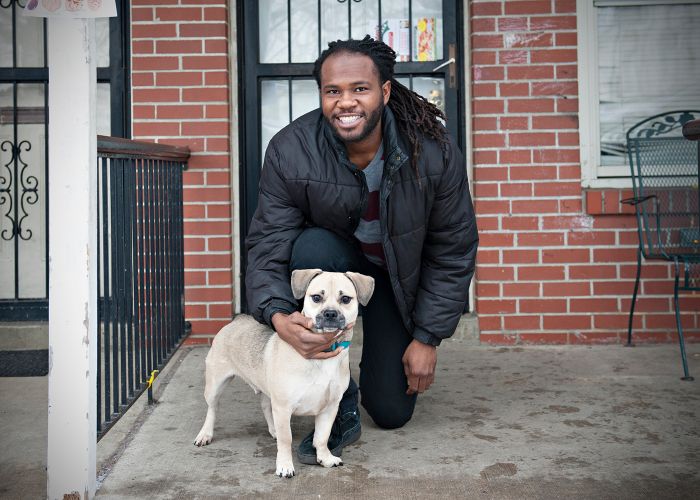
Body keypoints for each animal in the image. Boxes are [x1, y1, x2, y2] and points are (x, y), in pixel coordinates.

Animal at [194, 270, 374, 476]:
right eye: (316, 298)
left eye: (345, 299)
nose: (330, 313)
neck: (324, 356)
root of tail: (237, 320)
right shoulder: (283, 406)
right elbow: (286, 439)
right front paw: (285, 465)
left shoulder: (330, 407)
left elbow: (322, 437)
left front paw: (325, 458)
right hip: (215, 385)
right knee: (212, 409)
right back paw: (205, 434)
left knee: (265, 406)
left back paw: (273, 430)